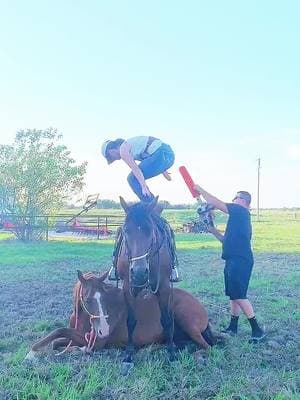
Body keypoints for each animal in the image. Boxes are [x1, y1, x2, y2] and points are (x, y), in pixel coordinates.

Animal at [24, 270, 214, 360]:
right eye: (87, 299)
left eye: (104, 298)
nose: (104, 330)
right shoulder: (81, 336)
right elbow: (57, 341)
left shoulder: (96, 342)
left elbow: (61, 333)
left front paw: (31, 352)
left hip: (185, 319)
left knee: (207, 347)